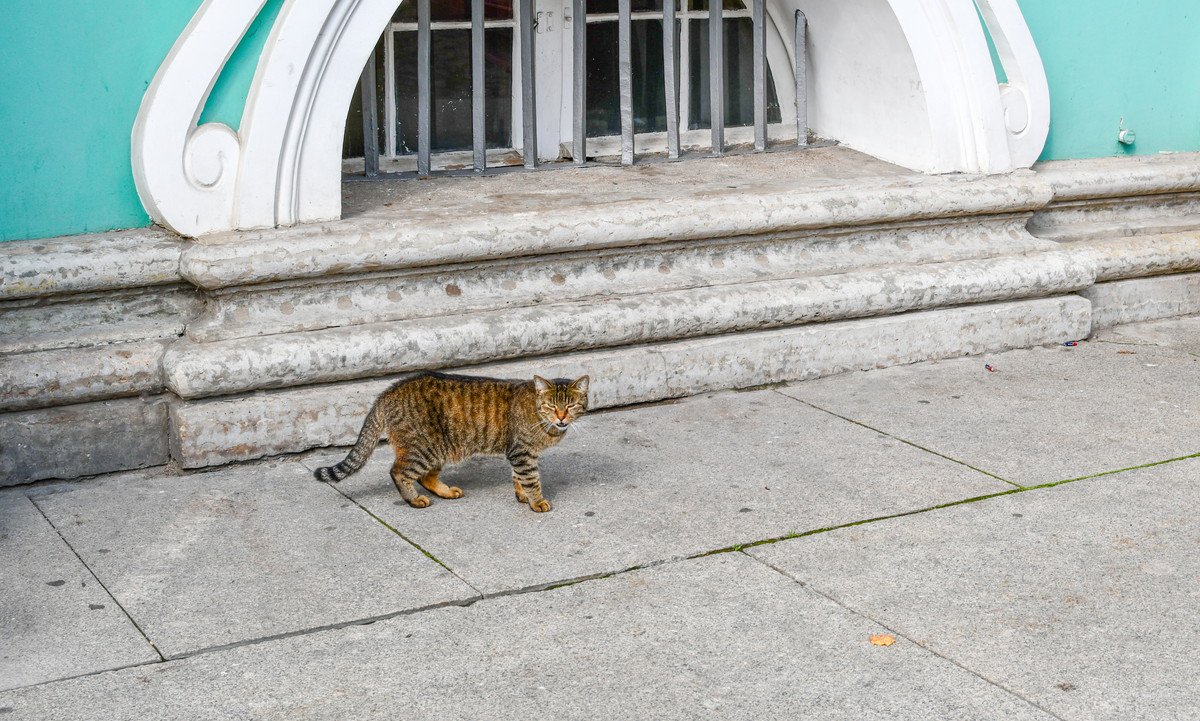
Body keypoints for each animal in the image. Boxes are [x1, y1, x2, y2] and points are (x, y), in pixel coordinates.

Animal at [312, 371, 588, 511]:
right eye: (551, 405)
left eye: (570, 405)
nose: (561, 417)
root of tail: (388, 390)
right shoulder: (522, 452)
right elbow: (530, 479)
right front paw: (536, 501)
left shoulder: (520, 453)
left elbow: (518, 478)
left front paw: (522, 496)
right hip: (425, 449)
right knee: (399, 472)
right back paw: (414, 500)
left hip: (439, 448)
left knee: (426, 477)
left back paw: (445, 492)